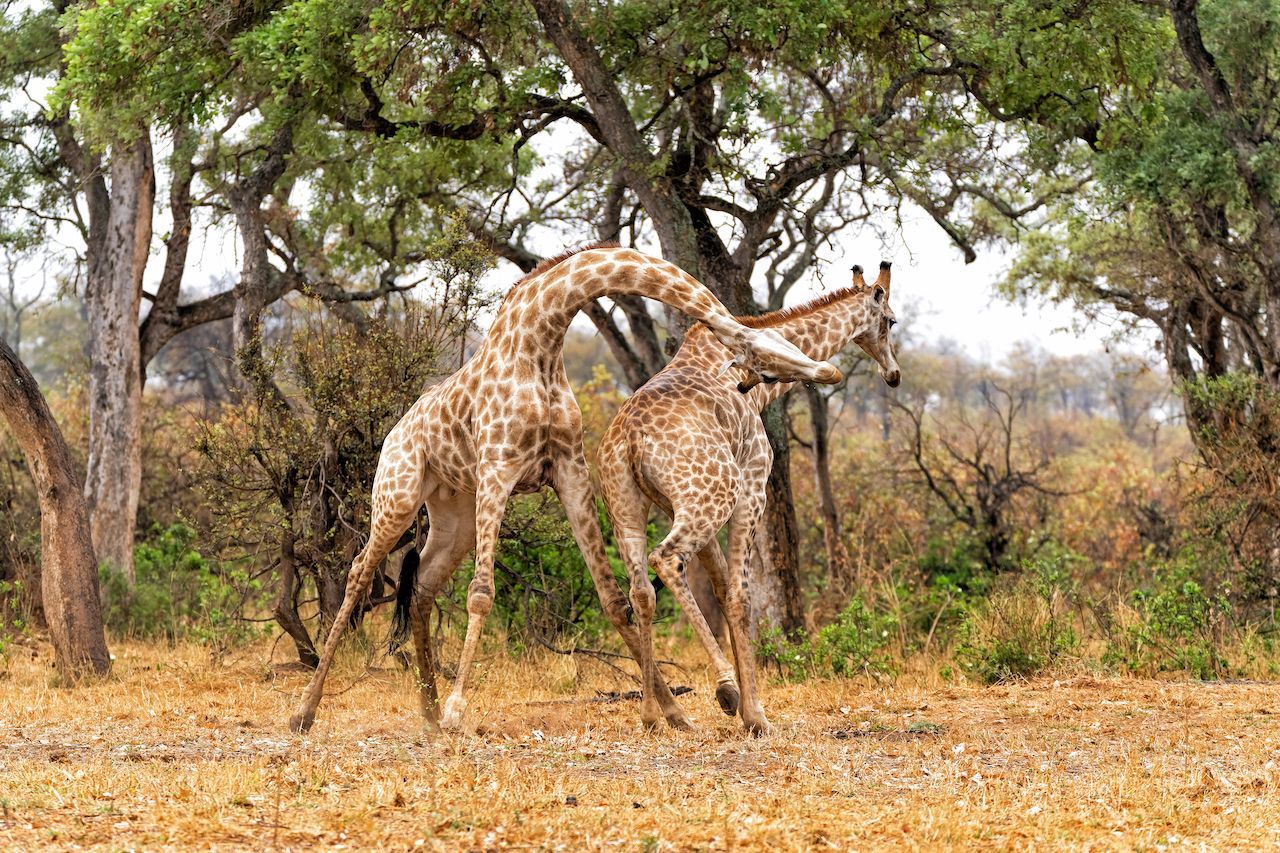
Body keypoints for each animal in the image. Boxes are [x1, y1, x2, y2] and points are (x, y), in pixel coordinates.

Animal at [285, 240, 844, 732]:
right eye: (759, 350)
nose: (830, 371)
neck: (541, 340)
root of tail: (394, 433)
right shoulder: (498, 468)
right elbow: (482, 594)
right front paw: (459, 712)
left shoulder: (570, 471)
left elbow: (613, 598)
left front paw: (674, 713)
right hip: (398, 496)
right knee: (359, 571)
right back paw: (307, 712)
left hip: (454, 513)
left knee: (422, 584)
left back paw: (425, 710)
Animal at [596, 258, 901, 732]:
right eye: (890, 321)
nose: (894, 373)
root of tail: (628, 439)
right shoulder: (753, 485)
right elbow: (741, 597)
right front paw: (754, 714)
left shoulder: (679, 507)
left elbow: (721, 589)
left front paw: (745, 705)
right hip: (713, 497)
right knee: (666, 559)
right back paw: (723, 688)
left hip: (629, 506)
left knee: (641, 590)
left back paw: (654, 715)